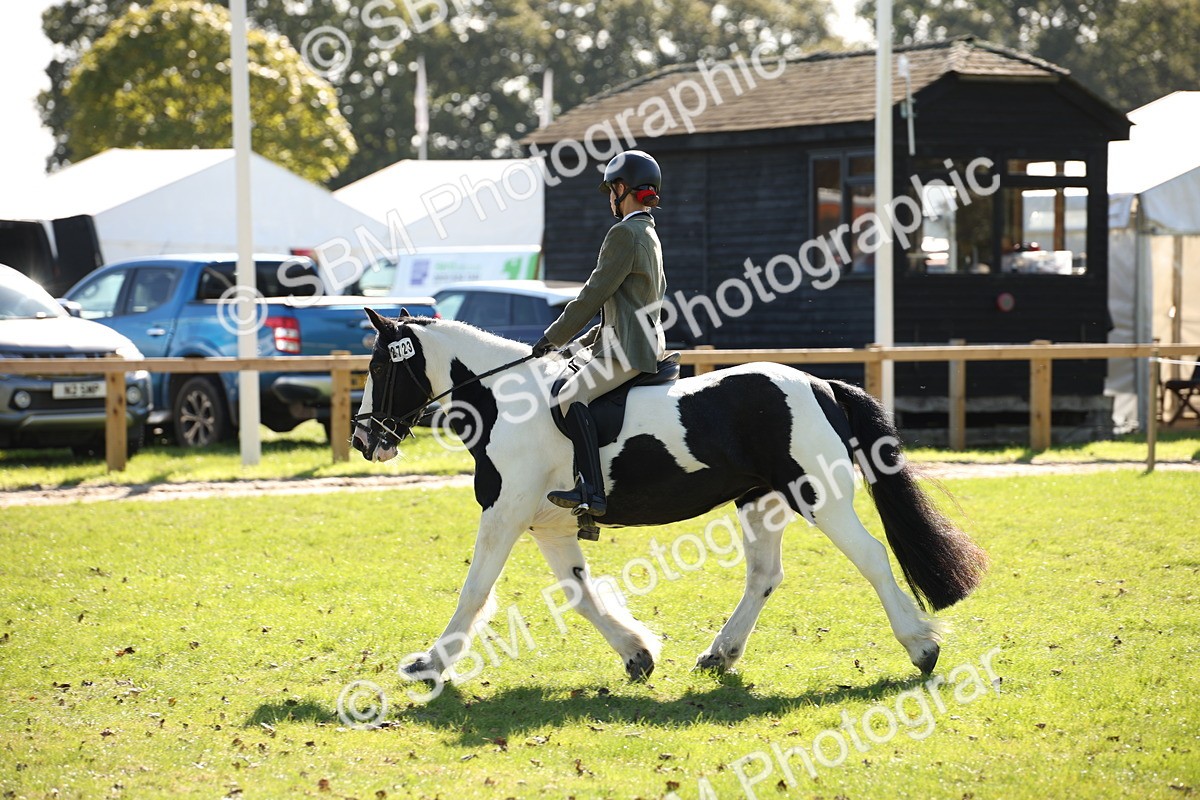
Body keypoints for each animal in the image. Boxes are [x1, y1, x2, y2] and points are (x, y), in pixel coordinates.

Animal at [352, 309, 988, 684]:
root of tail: (818, 382)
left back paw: (921, 648)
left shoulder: (504, 513)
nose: (362, 438)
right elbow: (580, 594)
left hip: (818, 495)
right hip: (760, 501)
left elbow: (475, 589)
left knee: (872, 558)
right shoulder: (547, 524)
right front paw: (637, 653)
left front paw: (429, 665)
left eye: (380, 366)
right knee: (765, 576)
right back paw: (719, 653)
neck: (505, 401)